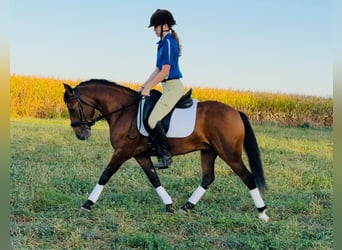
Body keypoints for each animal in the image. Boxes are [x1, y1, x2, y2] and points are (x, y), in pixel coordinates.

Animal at [62, 79, 268, 222]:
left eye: (72, 107)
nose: (81, 134)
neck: (124, 111)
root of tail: (235, 112)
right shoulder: (140, 155)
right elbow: (154, 179)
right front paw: (169, 206)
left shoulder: (122, 152)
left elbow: (105, 175)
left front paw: (87, 205)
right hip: (209, 151)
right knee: (208, 178)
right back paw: (186, 207)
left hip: (229, 153)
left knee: (248, 177)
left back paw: (262, 213)